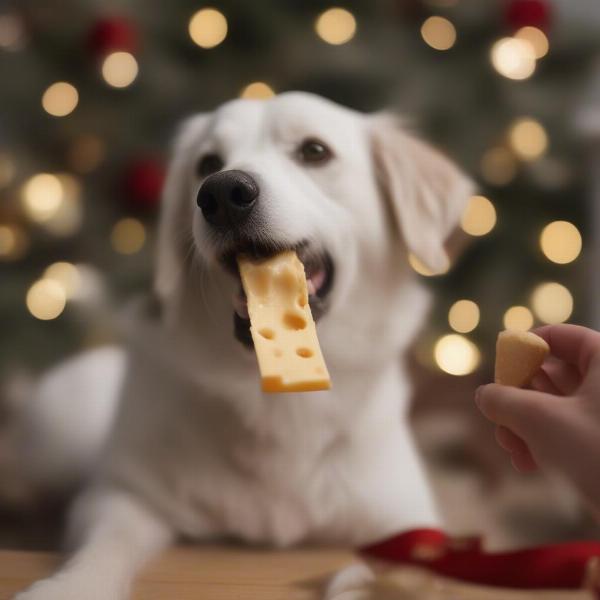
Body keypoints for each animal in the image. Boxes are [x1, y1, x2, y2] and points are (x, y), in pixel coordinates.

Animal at [7, 91, 472, 596]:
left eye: (314, 151)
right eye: (207, 163)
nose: (223, 193)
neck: (274, 393)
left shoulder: (406, 515)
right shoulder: (122, 494)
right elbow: (105, 547)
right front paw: (71, 586)